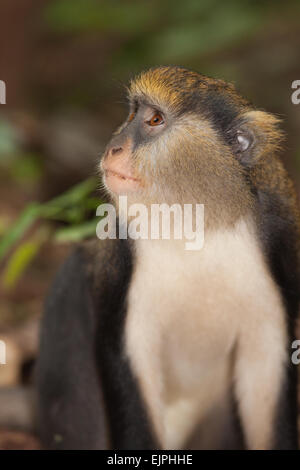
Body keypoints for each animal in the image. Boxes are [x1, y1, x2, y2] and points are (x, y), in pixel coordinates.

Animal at [37, 65, 300, 448]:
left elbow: (266, 364)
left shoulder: (279, 237)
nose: (113, 147)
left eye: (155, 120)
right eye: (133, 113)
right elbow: (130, 354)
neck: (198, 218)